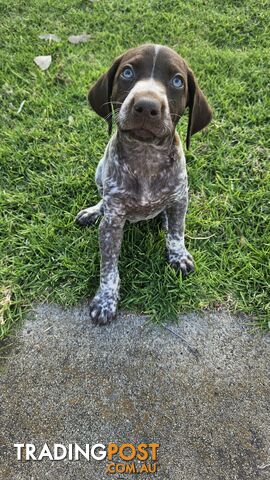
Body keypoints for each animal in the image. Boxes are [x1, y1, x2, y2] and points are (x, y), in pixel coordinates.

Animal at [75, 44, 212, 326]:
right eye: (127, 72)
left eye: (177, 81)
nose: (146, 106)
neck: (146, 156)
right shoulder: (112, 222)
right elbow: (108, 266)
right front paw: (106, 299)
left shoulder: (180, 197)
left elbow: (177, 233)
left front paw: (178, 255)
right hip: (99, 171)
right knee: (102, 198)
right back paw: (93, 211)